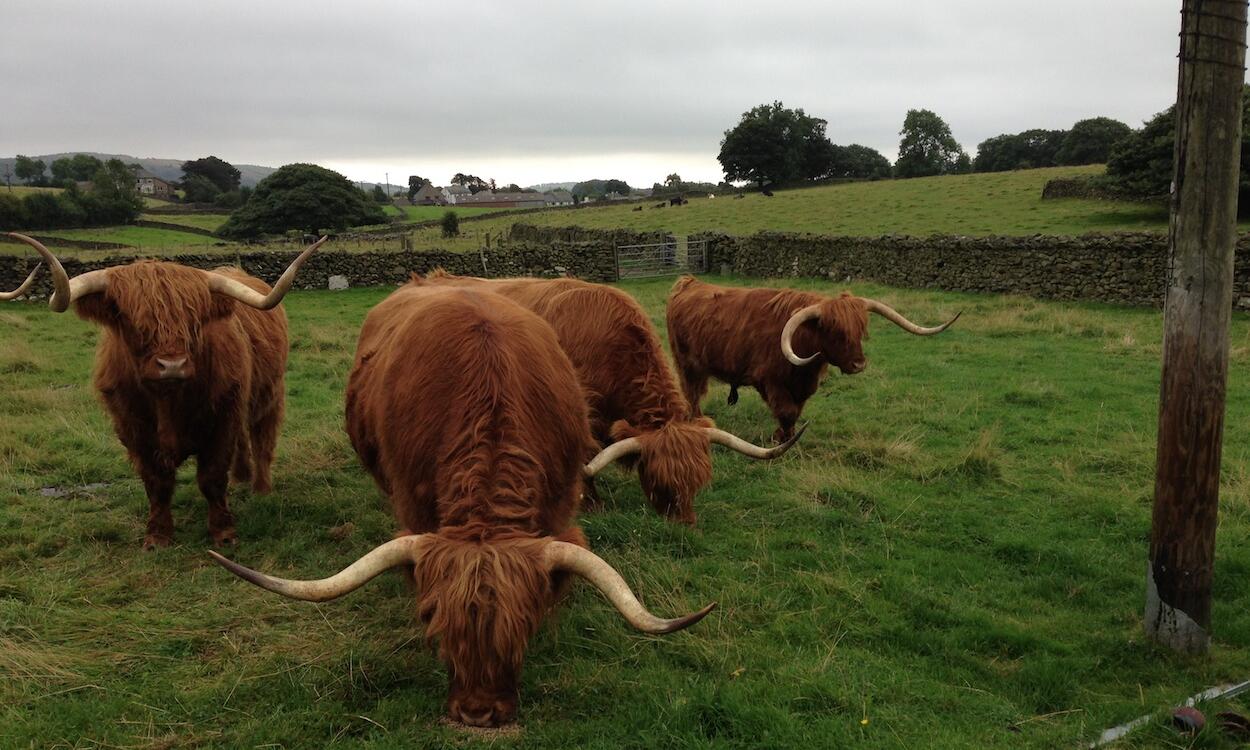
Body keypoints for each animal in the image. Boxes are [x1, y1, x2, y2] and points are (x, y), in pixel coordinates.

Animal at [5, 232, 323, 549]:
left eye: (195, 320)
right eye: (130, 319)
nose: (172, 365)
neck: (167, 401)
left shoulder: (222, 418)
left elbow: (212, 476)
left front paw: (223, 533)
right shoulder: (132, 429)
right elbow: (156, 482)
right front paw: (157, 536)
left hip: (269, 394)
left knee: (262, 439)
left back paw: (261, 489)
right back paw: (241, 479)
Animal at [667, 276, 960, 442]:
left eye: (861, 330)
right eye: (836, 332)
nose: (859, 364)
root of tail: (689, 282)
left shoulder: (803, 385)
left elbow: (795, 411)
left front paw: (786, 435)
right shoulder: (769, 380)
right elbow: (786, 410)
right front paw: (782, 439)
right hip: (686, 364)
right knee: (692, 391)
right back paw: (699, 420)